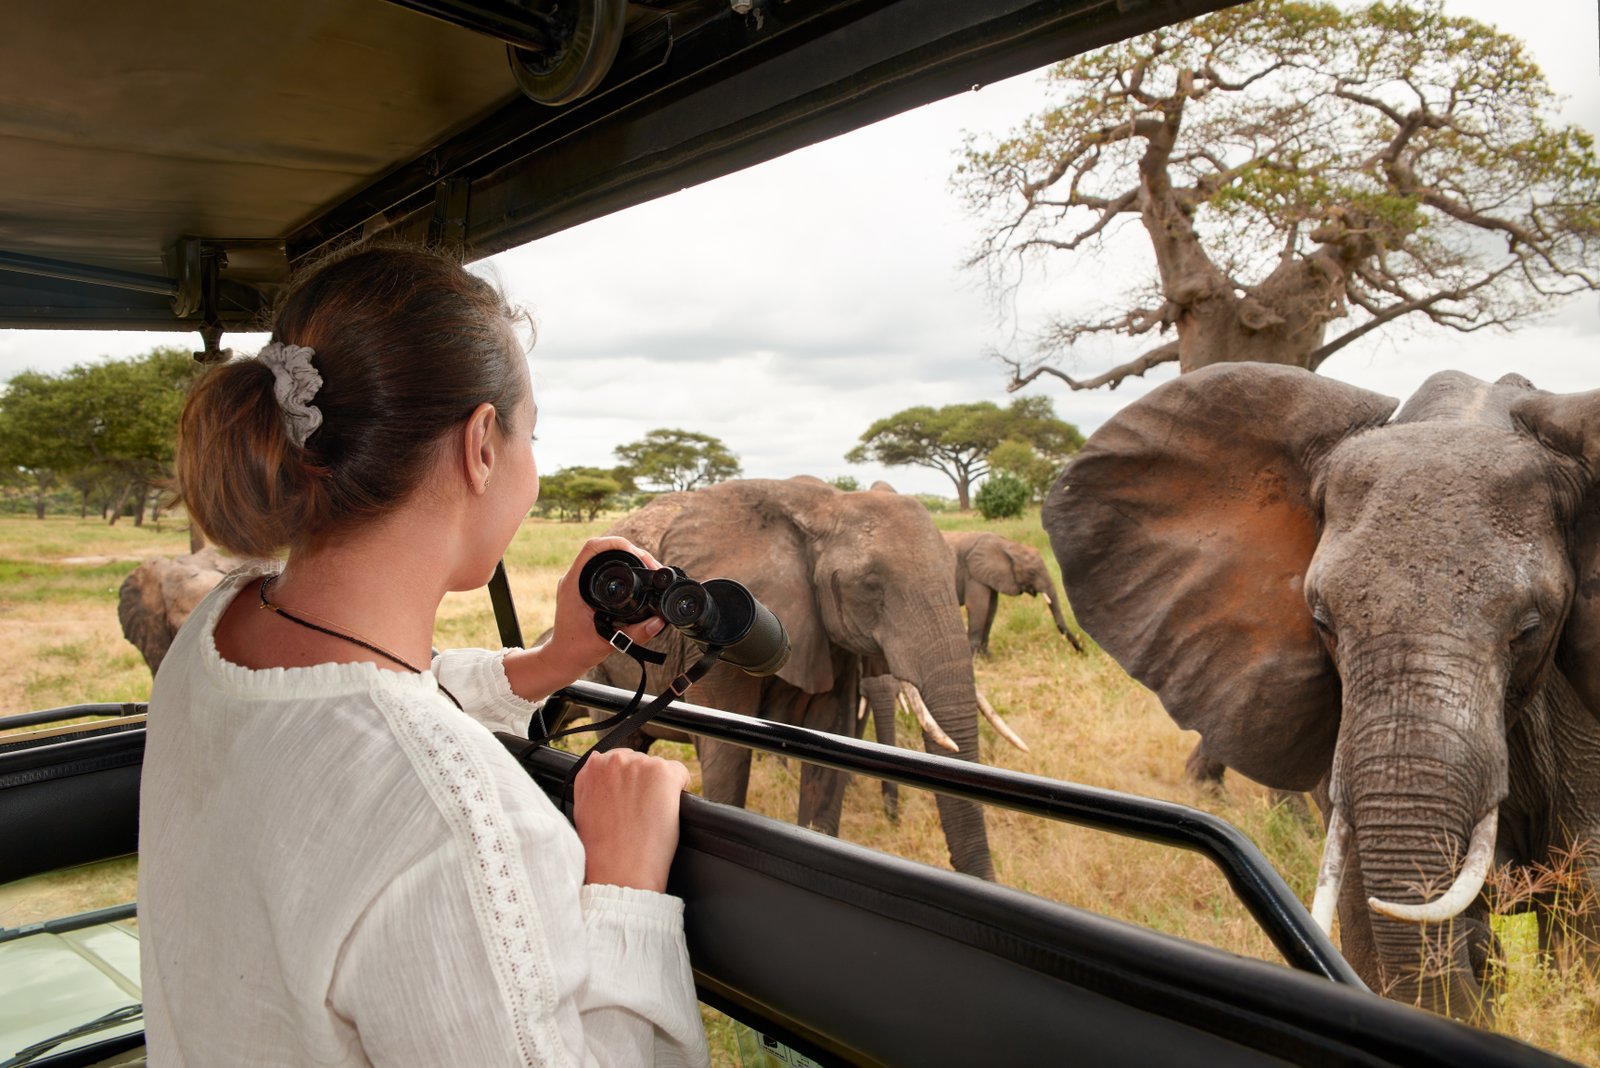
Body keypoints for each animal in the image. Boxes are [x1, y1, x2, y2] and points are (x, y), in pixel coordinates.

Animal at [582, 476, 992, 876]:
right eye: (869, 584)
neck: (829, 504)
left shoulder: (829, 639)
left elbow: (829, 744)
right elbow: (727, 754)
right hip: (601, 669)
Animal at [940, 530, 1081, 655]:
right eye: (1032, 572)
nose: (1082, 651)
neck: (1007, 545)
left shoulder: (990, 575)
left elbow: (991, 609)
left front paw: (987, 656)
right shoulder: (973, 573)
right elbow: (979, 607)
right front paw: (975, 658)